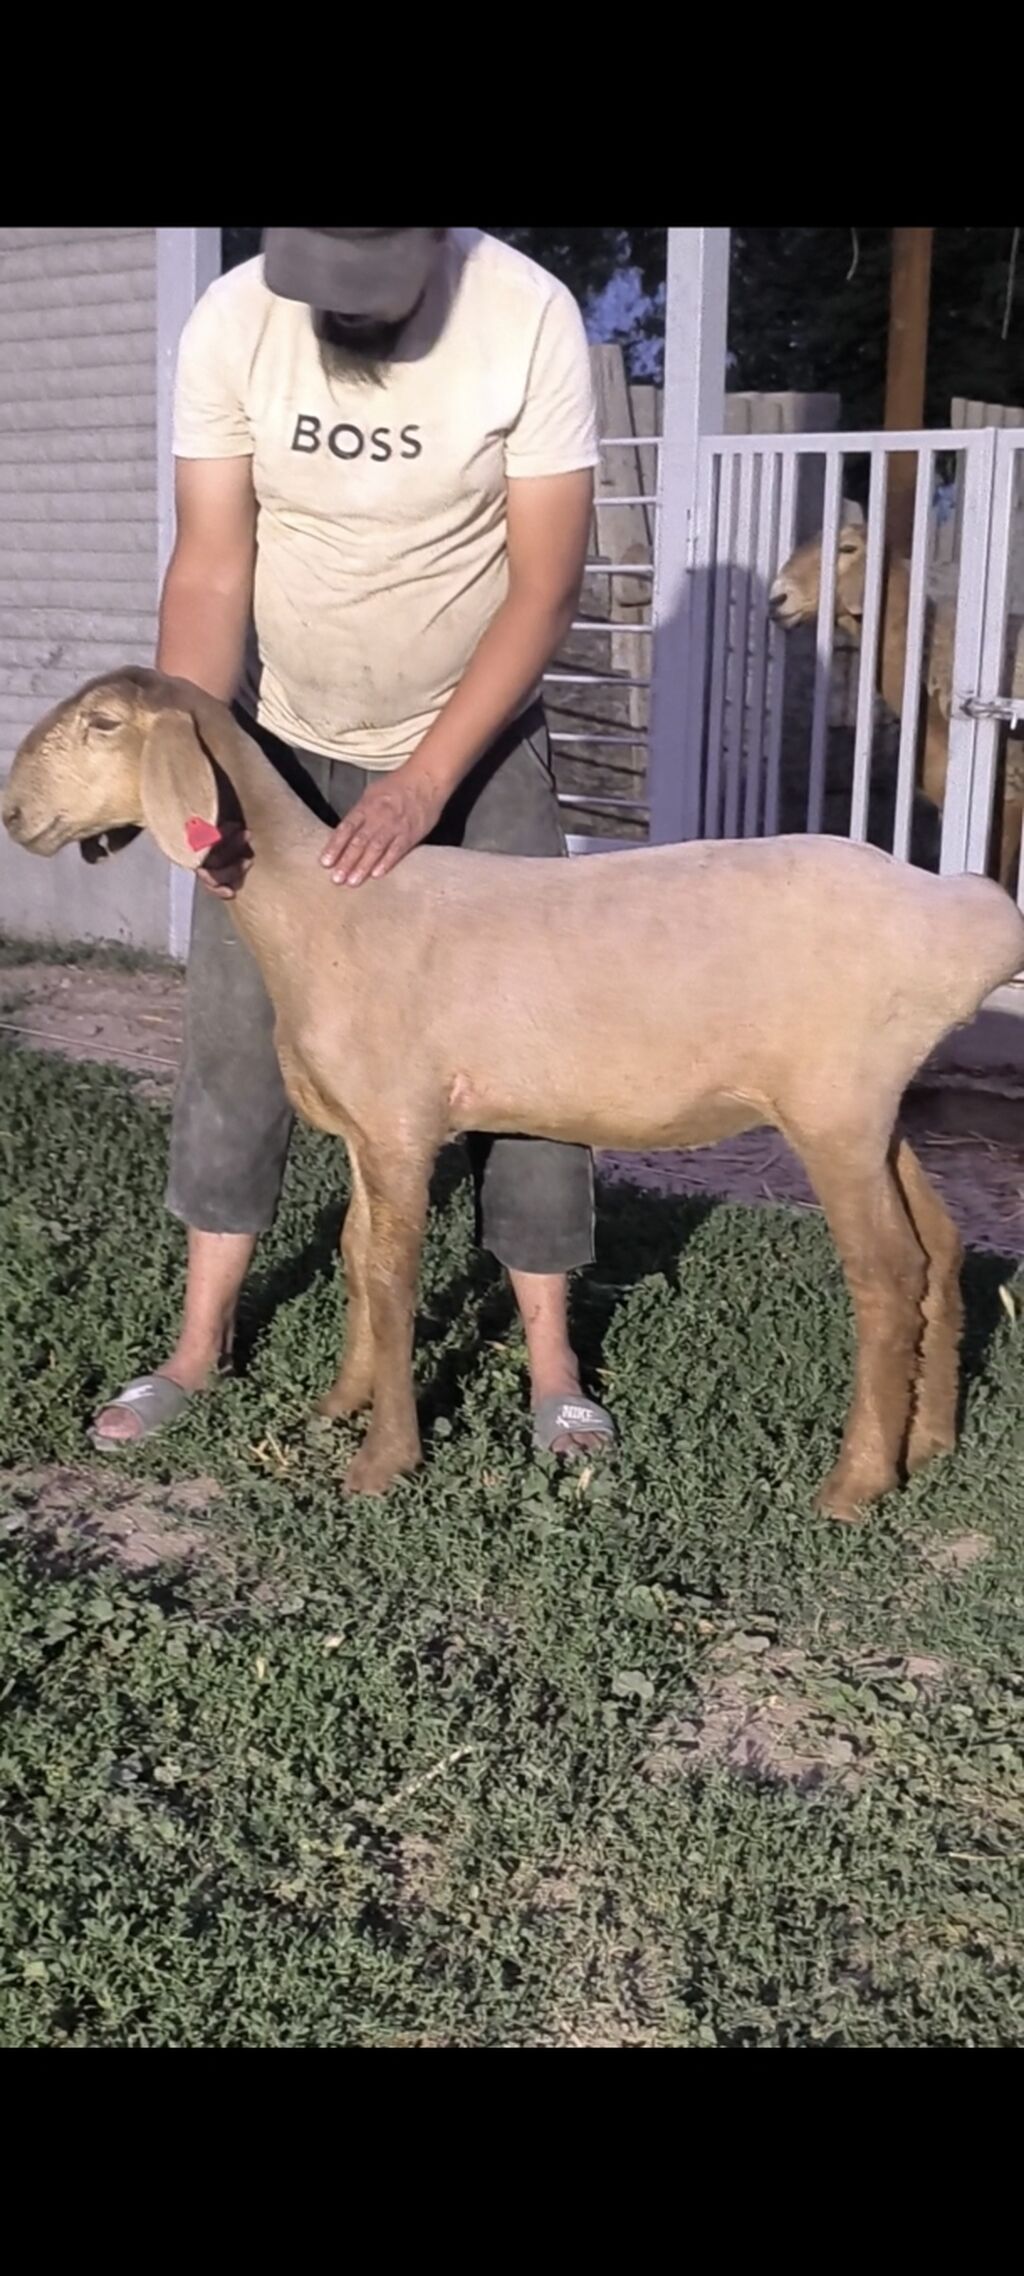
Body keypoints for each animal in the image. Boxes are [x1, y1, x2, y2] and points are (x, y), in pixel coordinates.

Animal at [5, 666, 1024, 1521]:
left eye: (102, 724)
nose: (14, 813)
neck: (318, 909)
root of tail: (964, 920)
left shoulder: (402, 1119)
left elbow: (393, 1274)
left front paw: (383, 1460)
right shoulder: (368, 1125)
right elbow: (356, 1254)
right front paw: (343, 1404)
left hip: (833, 1103)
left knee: (887, 1273)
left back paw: (856, 1483)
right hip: (872, 1105)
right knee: (939, 1248)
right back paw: (929, 1442)